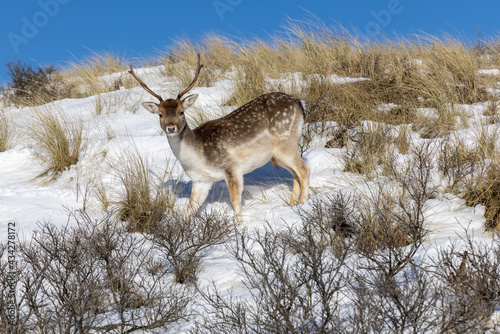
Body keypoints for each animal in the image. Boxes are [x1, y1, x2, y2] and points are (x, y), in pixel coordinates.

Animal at [129, 53, 308, 223]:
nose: (171, 127)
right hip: (278, 154)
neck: (197, 156)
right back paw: (292, 205)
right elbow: (190, 208)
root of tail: (299, 103)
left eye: (181, 111)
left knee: (304, 170)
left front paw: (241, 227)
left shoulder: (231, 167)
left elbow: (235, 201)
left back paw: (304, 205)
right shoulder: (201, 181)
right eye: (160, 114)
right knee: (295, 174)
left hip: (285, 143)